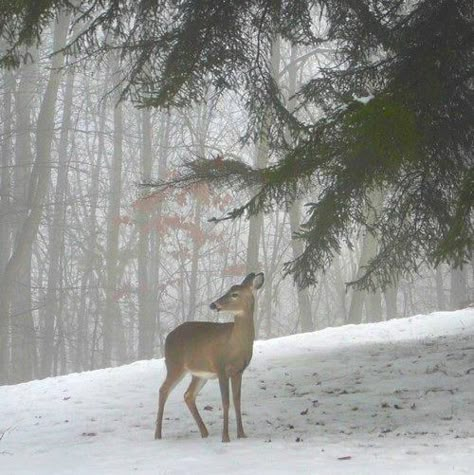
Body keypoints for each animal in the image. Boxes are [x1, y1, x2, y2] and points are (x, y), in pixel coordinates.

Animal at [156, 274, 264, 444]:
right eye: (228, 290)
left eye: (235, 294)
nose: (213, 304)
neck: (234, 344)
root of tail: (168, 336)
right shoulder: (221, 368)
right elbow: (225, 402)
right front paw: (225, 437)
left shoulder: (239, 371)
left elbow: (237, 401)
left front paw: (242, 434)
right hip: (174, 365)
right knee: (163, 390)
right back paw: (158, 435)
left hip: (199, 373)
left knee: (188, 395)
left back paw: (204, 432)